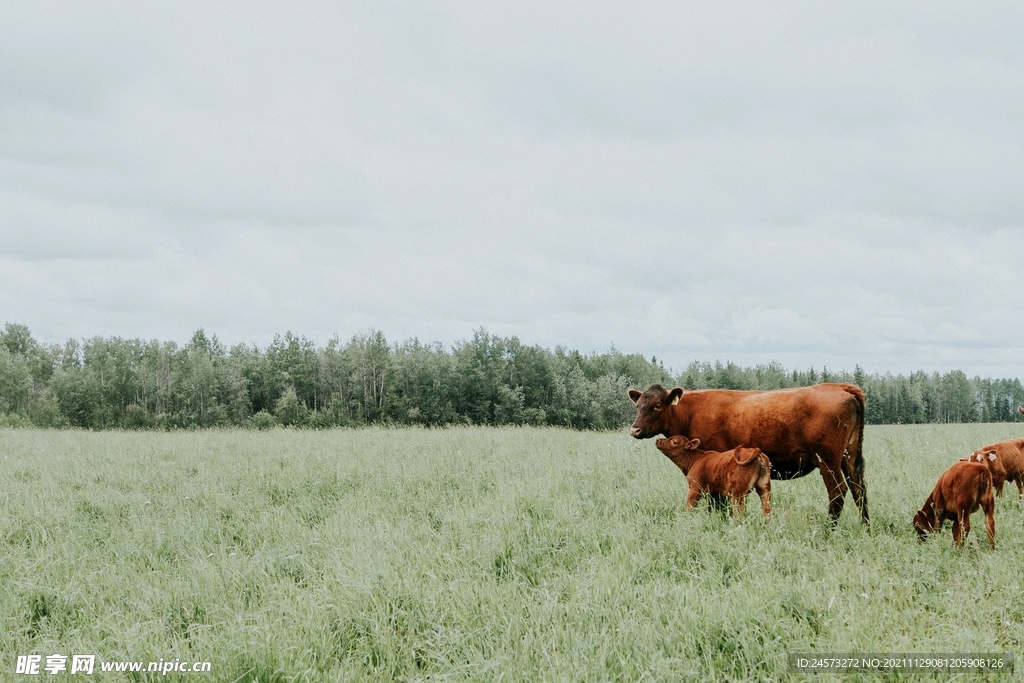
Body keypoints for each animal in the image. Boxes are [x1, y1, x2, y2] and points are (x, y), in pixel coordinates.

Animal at [626, 385, 868, 524]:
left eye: (657, 405)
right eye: (637, 405)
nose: (634, 430)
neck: (691, 411)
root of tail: (842, 387)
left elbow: (716, 503)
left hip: (827, 459)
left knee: (838, 492)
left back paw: (828, 530)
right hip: (850, 456)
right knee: (859, 489)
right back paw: (865, 527)